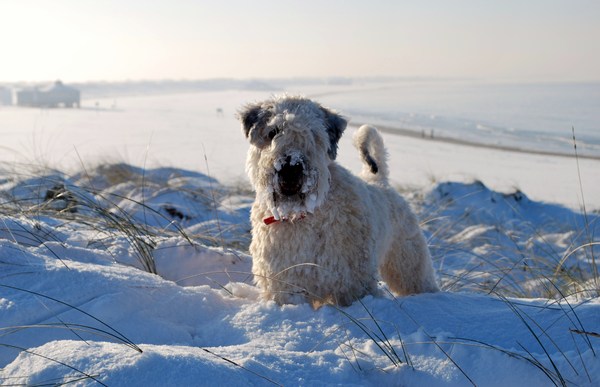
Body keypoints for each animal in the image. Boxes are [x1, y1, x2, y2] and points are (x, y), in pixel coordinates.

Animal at [237, 94, 438, 306]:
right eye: (273, 131)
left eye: (314, 134)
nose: (291, 169)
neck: (302, 216)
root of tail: (380, 180)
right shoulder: (285, 282)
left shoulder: (352, 283)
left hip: (407, 260)